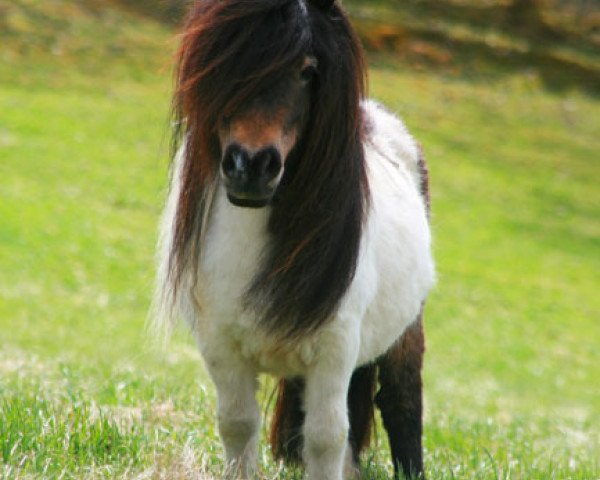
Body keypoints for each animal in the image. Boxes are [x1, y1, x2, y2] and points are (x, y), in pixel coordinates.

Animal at [154, 0, 436, 480]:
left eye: (307, 70)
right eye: (224, 62)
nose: (251, 165)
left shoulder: (334, 351)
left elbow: (324, 438)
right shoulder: (220, 347)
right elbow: (238, 424)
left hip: (404, 333)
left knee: (401, 402)